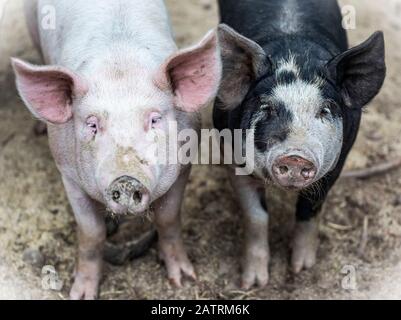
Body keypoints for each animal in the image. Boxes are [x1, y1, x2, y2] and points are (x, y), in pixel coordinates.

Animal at [12, 0, 220, 300]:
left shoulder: (185, 164)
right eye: (92, 124)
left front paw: (184, 280)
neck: (120, 61)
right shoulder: (67, 173)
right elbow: (91, 233)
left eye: (154, 119)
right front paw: (81, 294)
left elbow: (168, 219)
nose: (125, 178)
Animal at [214, 0, 386, 290]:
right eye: (266, 107)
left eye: (325, 110)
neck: (294, 51)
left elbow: (309, 209)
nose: (295, 156)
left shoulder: (340, 159)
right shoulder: (231, 153)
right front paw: (253, 283)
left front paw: (301, 268)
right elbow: (255, 215)